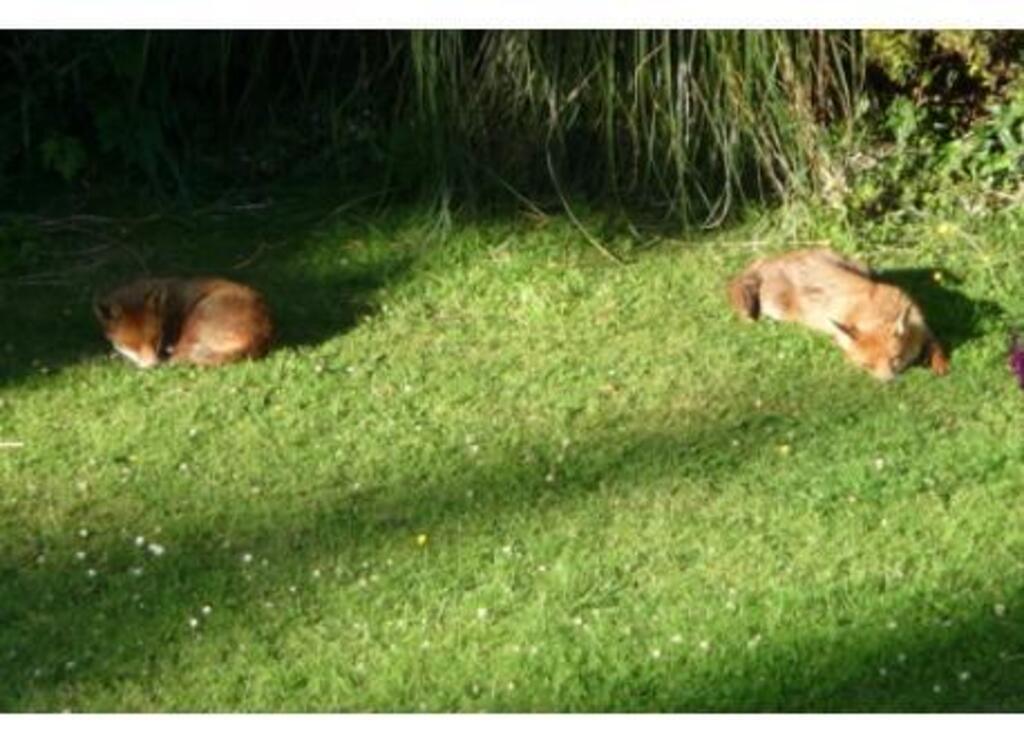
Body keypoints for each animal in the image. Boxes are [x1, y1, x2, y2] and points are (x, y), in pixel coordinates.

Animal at [727, 249, 949, 381]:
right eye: (867, 366)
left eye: (895, 358)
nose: (887, 382)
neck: (875, 309)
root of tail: (772, 258)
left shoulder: (922, 327)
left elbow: (937, 346)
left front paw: (940, 364)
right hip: (777, 308)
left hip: (861, 266)